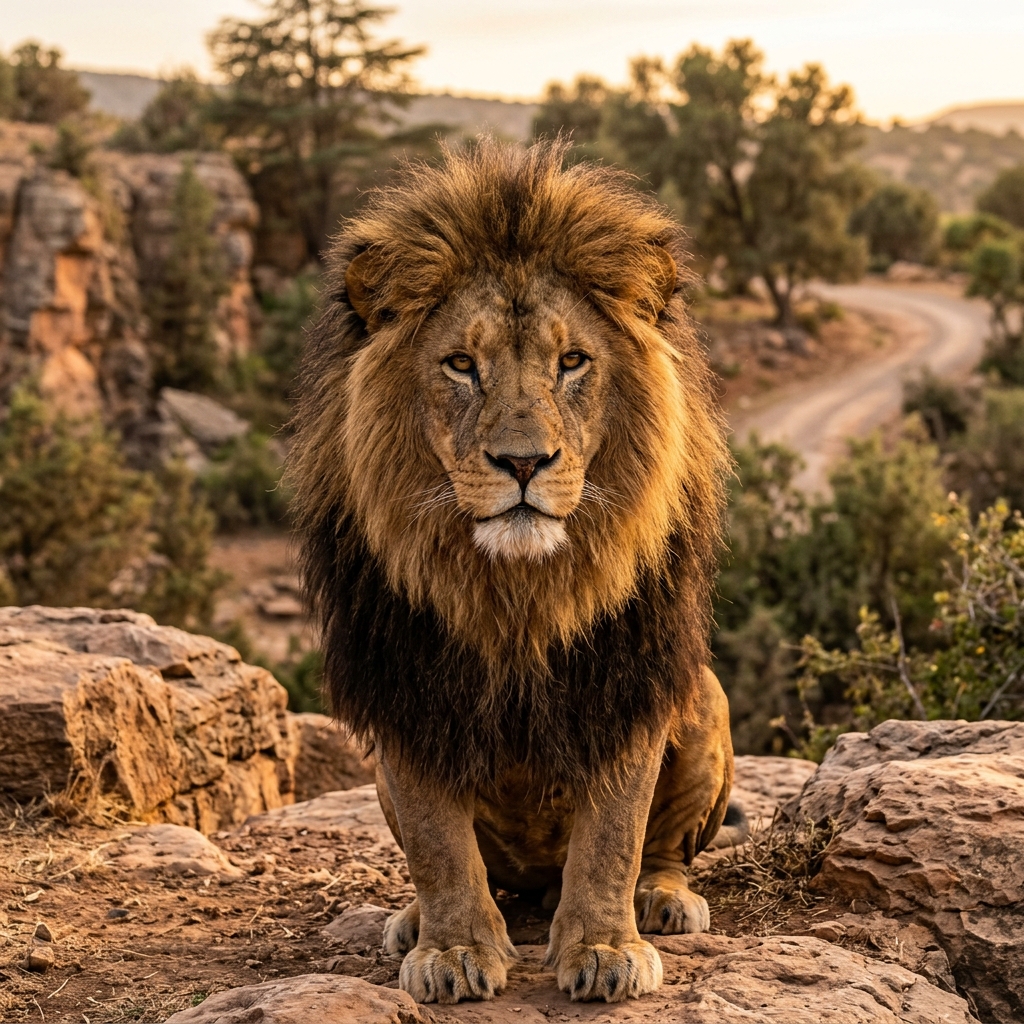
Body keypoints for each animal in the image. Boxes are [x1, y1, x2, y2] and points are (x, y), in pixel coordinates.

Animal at [289, 140, 735, 1005]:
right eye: (462, 364)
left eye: (573, 362)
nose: (524, 462)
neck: (517, 589)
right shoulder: (406, 685)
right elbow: (437, 843)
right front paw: (455, 948)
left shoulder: (623, 679)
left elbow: (613, 835)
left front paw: (604, 947)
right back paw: (412, 919)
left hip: (702, 697)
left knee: (662, 849)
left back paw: (663, 901)